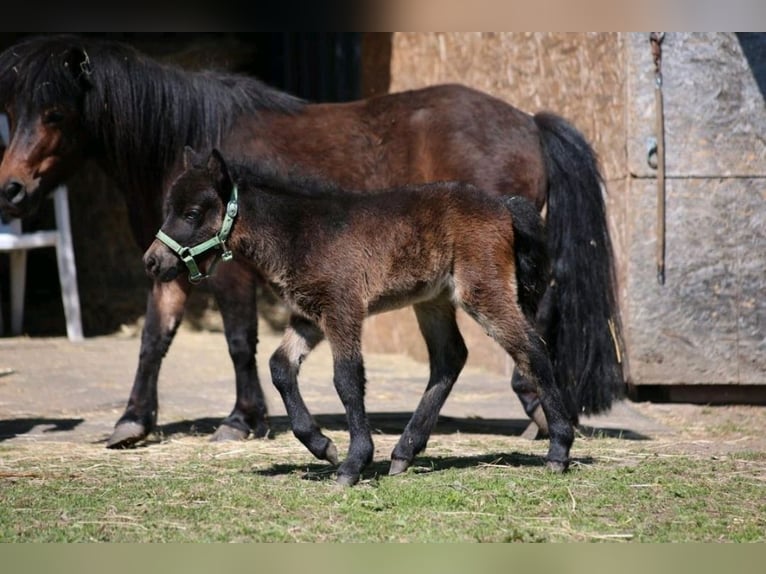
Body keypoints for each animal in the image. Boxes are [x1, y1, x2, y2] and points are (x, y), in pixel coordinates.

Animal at [0, 34, 625, 449]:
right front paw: (133, 421)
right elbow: (154, 340)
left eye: (55, 113)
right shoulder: (172, 266)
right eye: (12, 109)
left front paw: (241, 420)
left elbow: (238, 341)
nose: (11, 188)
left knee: (533, 319)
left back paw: (540, 410)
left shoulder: (227, 271)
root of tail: (528, 120)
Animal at [145, 147, 575, 485]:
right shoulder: (309, 314)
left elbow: (347, 378)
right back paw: (404, 453)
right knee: (450, 358)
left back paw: (559, 450)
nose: (153, 262)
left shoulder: (342, 308)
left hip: (482, 291)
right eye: (166, 210)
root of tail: (503, 205)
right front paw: (323, 447)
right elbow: (280, 366)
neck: (299, 232)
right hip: (433, 299)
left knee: (531, 348)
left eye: (192, 213)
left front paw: (353, 463)